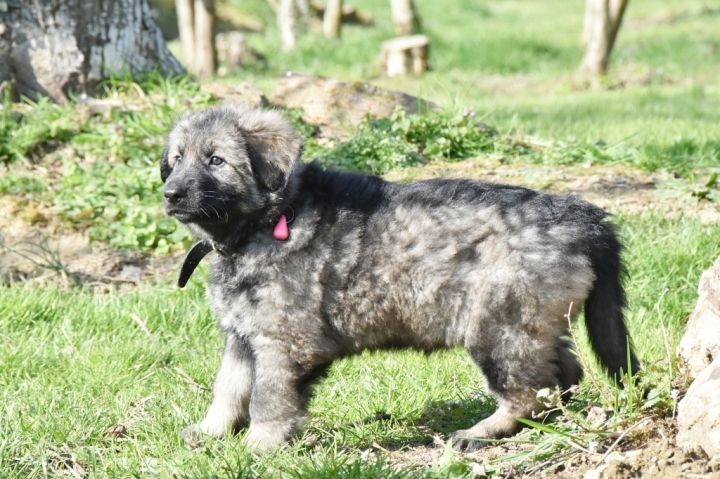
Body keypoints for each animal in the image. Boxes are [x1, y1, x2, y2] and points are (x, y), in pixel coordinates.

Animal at [160, 104, 639, 452]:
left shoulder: (283, 341)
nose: (169, 194)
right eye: (177, 160)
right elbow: (228, 387)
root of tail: (584, 217)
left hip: (499, 325)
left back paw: (481, 433)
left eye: (216, 160)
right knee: (563, 373)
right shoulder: (242, 335)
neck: (269, 218)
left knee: (530, 389)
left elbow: (267, 397)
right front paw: (211, 431)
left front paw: (259, 446)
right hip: (534, 321)